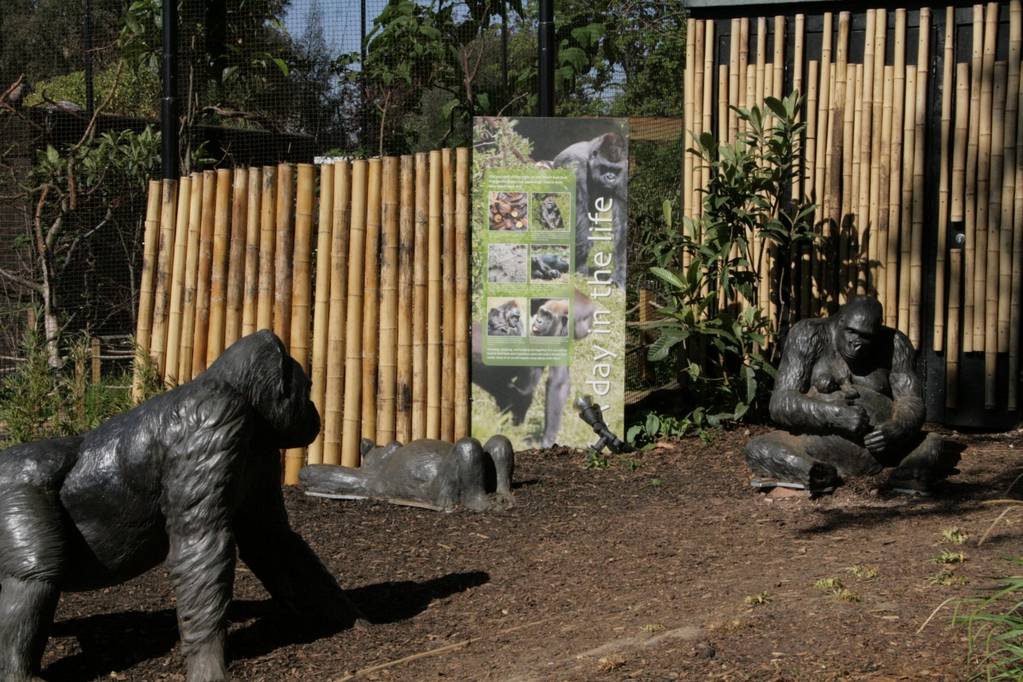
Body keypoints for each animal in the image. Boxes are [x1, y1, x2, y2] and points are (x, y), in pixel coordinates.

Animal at [552, 132, 628, 286]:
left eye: (615, 170)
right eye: (605, 167)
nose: (611, 177)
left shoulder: (624, 172)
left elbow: (621, 222)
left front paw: (620, 272)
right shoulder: (573, 165)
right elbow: (576, 209)